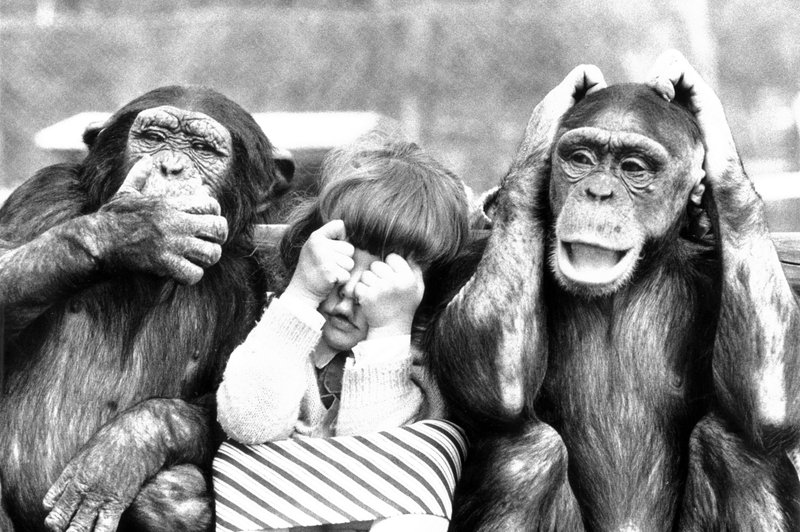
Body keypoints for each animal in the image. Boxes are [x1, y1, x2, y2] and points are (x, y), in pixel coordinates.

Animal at [0, 86, 290, 532]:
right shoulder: (42, 195)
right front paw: (144, 226)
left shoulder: (248, 277)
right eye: (153, 138)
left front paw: (126, 448)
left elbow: (243, 410)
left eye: (203, 149)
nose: (170, 167)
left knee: (174, 494)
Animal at [428, 51, 800, 532]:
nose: (599, 191)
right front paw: (548, 118)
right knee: (521, 456)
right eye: (581, 158)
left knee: (743, 447)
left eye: (633, 168)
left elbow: (773, 401)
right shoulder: (465, 263)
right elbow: (488, 381)